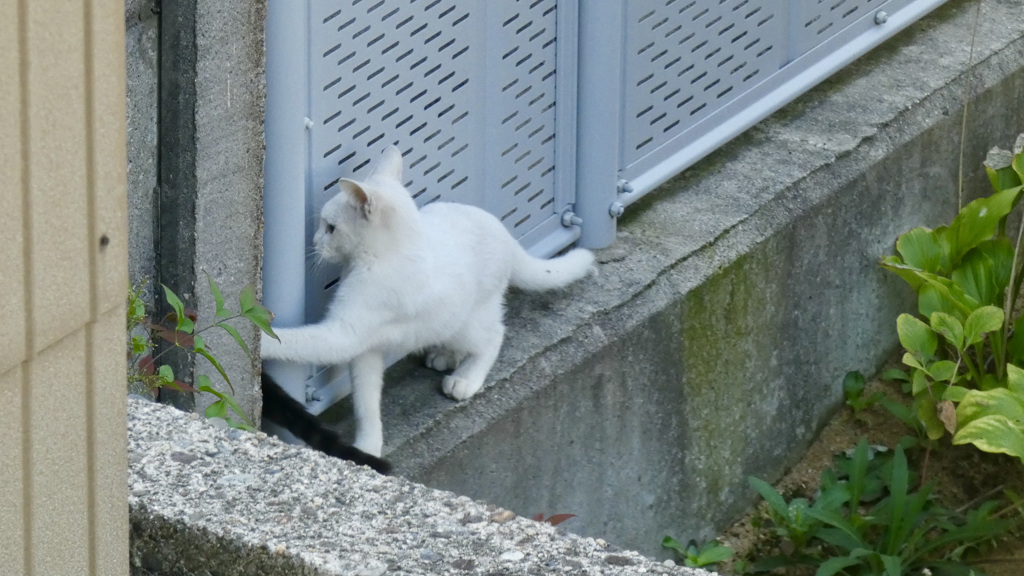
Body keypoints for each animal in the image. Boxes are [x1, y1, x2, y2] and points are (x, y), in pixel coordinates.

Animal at [260, 145, 598, 455]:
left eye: (330, 228)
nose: (315, 241)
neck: (380, 258)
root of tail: (506, 235)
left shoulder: (345, 334)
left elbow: (296, 341)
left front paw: (260, 338)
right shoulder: (365, 350)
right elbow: (366, 399)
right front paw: (368, 447)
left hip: (468, 320)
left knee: (494, 336)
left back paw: (465, 378)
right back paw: (446, 356)